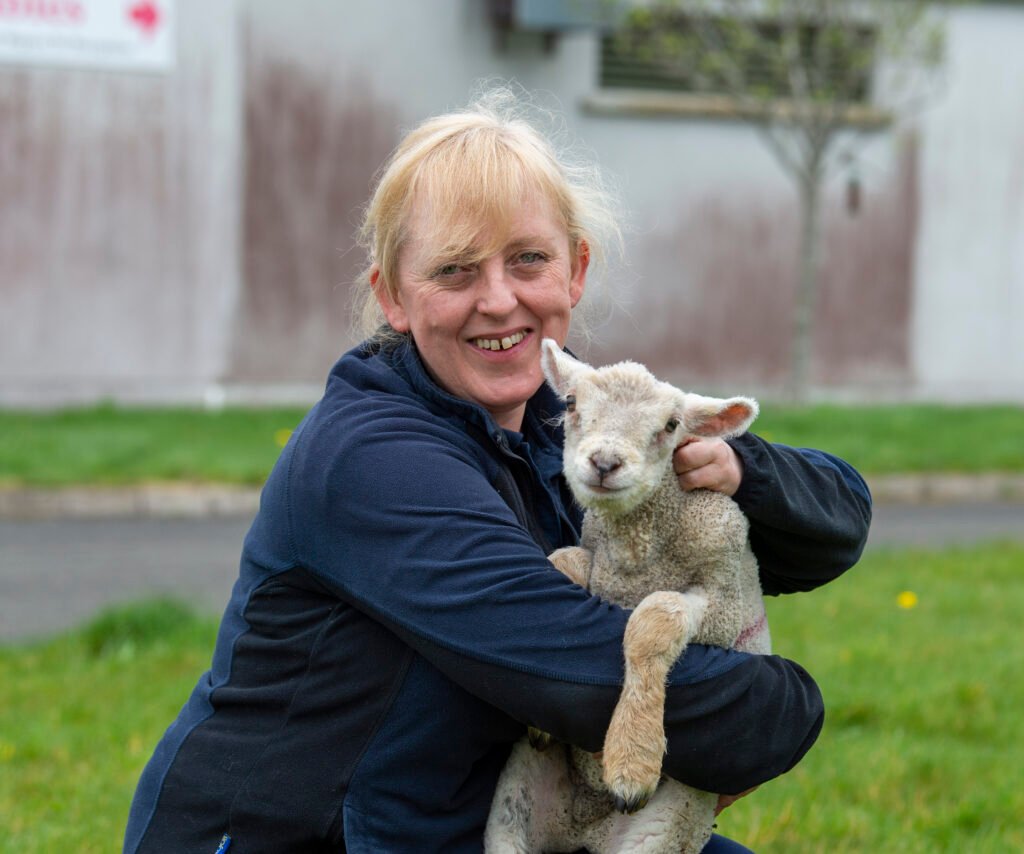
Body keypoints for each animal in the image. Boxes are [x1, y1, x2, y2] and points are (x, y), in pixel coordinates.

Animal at [484, 340, 770, 854]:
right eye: (571, 403)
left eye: (672, 425)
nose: (604, 463)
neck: (638, 552)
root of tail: (584, 834)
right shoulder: (596, 562)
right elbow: (563, 560)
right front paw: (542, 723)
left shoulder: (724, 600)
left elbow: (656, 615)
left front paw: (631, 760)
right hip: (513, 809)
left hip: (666, 827)